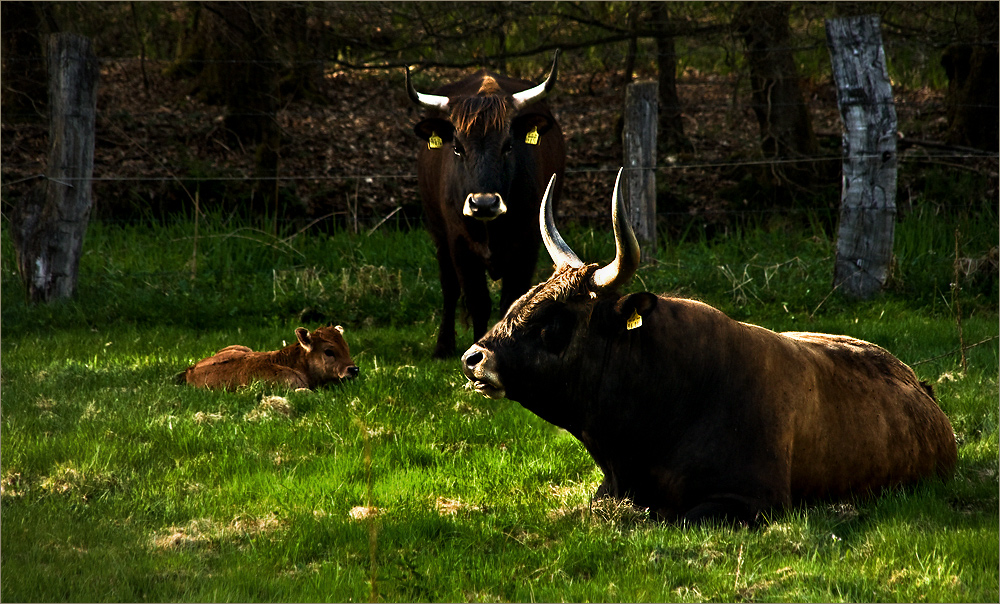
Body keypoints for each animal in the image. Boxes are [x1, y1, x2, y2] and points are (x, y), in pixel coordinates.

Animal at [404, 52, 564, 358]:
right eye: (457, 147)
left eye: (508, 145)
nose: (484, 204)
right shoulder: (459, 244)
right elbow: (477, 302)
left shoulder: (527, 243)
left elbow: (513, 301)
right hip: (439, 235)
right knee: (449, 287)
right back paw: (444, 345)